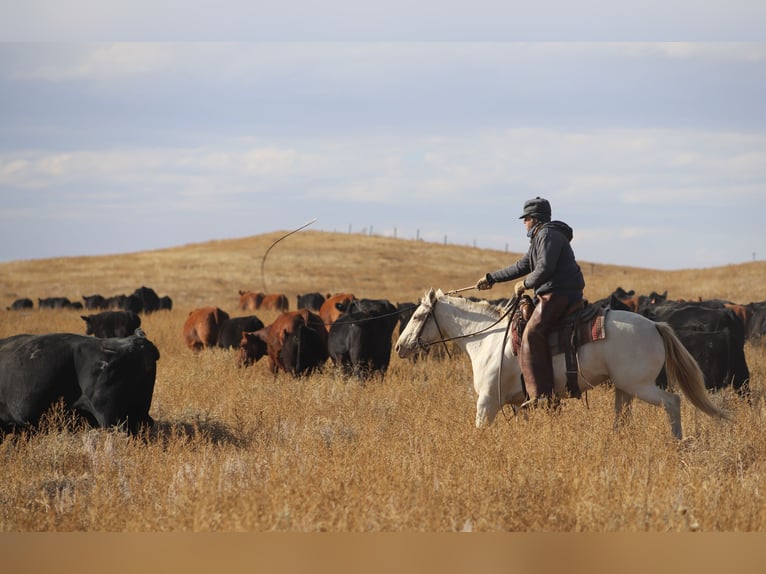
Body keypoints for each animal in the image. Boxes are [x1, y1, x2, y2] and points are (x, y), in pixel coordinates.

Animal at [396, 288, 732, 440]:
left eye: (418, 316)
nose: (400, 347)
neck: (487, 339)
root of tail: (654, 326)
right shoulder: (518, 404)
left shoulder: (487, 402)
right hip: (624, 389)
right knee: (622, 418)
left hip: (642, 386)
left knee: (672, 402)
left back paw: (678, 442)